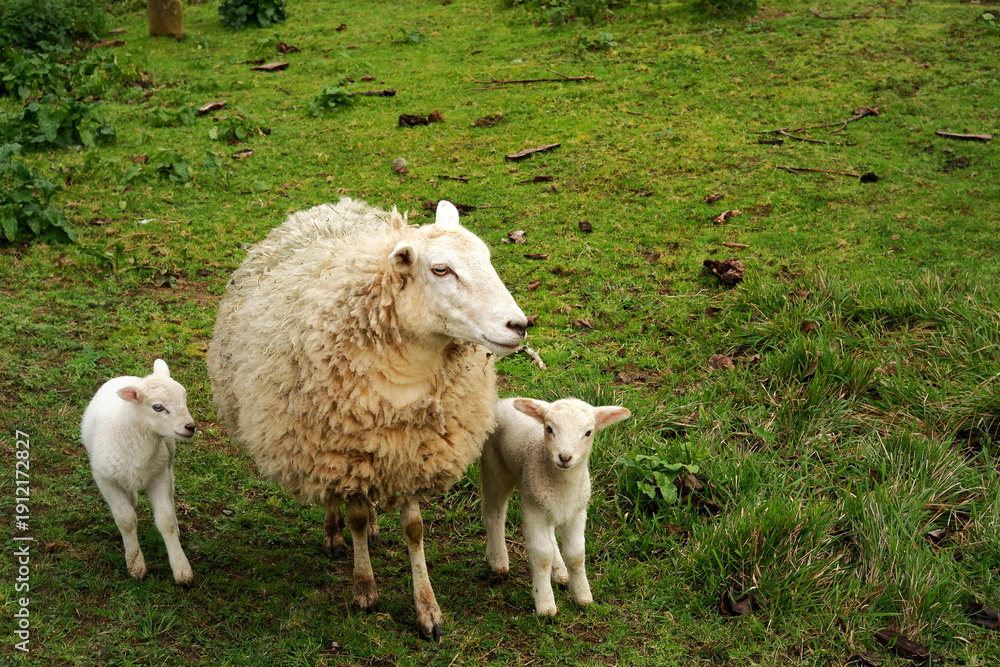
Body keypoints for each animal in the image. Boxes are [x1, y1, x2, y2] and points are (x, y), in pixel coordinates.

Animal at [80, 359, 196, 585]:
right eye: (158, 407)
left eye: (184, 397)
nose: (190, 426)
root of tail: (127, 377)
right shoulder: (106, 479)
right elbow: (126, 519)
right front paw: (135, 564)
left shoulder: (159, 476)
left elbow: (166, 521)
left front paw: (181, 568)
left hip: (168, 458)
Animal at [207, 197, 527, 640]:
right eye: (440, 269)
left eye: (487, 258)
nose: (519, 325)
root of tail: (331, 204)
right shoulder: (347, 450)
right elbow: (355, 517)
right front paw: (365, 591)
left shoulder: (415, 450)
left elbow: (414, 530)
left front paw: (427, 609)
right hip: (323, 444)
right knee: (333, 495)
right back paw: (334, 531)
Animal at [481, 397, 631, 617]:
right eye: (549, 428)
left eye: (588, 432)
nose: (565, 457)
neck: (563, 485)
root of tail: (506, 401)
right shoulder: (533, 510)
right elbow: (542, 557)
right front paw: (545, 605)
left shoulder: (577, 513)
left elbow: (576, 555)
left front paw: (583, 597)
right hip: (495, 468)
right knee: (494, 512)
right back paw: (499, 561)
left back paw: (560, 572)